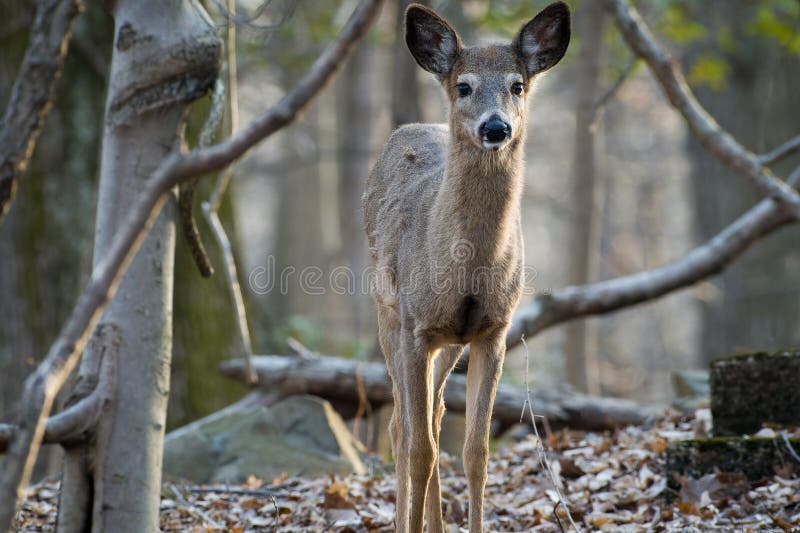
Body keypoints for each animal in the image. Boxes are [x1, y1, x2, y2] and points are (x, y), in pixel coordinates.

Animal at [362, 2, 568, 528]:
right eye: (464, 86)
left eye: (517, 85)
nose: (496, 128)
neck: (466, 269)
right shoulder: (415, 326)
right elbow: (418, 449)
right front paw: (408, 526)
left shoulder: (493, 330)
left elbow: (476, 452)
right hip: (386, 314)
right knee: (401, 428)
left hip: (449, 343)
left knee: (434, 415)